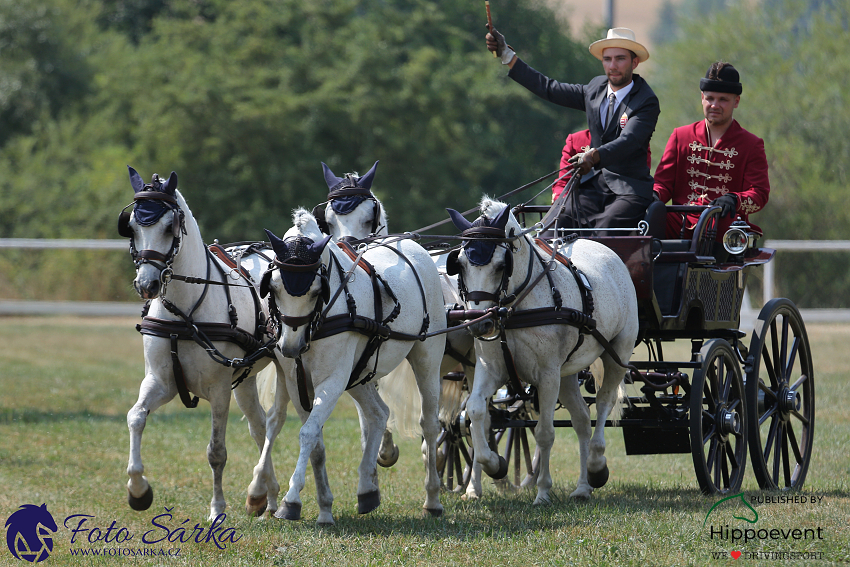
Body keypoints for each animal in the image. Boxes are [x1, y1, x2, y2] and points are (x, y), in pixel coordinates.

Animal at [117, 168, 292, 520]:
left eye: (169, 226)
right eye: (131, 226)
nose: (146, 285)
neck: (185, 313)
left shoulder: (220, 389)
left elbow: (216, 452)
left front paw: (216, 509)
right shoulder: (161, 382)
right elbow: (135, 417)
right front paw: (138, 490)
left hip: (284, 368)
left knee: (274, 422)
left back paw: (261, 491)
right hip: (245, 379)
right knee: (258, 425)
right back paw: (265, 495)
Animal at [260, 210, 444, 524]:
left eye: (316, 291)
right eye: (273, 286)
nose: (291, 347)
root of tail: (415, 247)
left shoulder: (332, 381)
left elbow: (307, 433)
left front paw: (290, 500)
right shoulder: (298, 384)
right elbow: (316, 443)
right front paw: (324, 507)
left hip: (427, 358)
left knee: (429, 425)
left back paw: (432, 498)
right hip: (359, 374)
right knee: (378, 414)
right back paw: (367, 490)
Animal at [444, 197, 636, 504]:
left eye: (501, 265)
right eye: (459, 264)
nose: (480, 322)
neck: (512, 309)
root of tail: (605, 249)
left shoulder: (546, 376)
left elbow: (544, 432)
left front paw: (543, 491)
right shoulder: (490, 369)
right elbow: (474, 412)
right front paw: (495, 465)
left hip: (616, 354)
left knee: (604, 402)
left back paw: (596, 466)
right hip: (566, 374)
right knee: (582, 420)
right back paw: (583, 487)